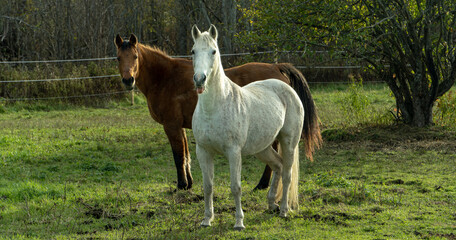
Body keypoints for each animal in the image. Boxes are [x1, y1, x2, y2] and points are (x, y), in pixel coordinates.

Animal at [113, 34, 320, 190]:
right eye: (118, 58)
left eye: (135, 57)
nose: (128, 80)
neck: (166, 78)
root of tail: (275, 67)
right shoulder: (181, 127)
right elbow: (186, 155)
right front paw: (189, 183)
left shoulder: (171, 126)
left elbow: (178, 156)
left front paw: (181, 185)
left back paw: (262, 184)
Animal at [191, 24, 304, 231]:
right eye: (193, 51)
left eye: (213, 51)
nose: (200, 79)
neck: (215, 107)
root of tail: (286, 87)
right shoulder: (203, 151)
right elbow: (208, 186)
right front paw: (207, 220)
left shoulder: (233, 152)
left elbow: (236, 187)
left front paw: (239, 222)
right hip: (263, 148)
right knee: (277, 165)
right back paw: (271, 204)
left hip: (288, 143)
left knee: (287, 173)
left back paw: (284, 210)